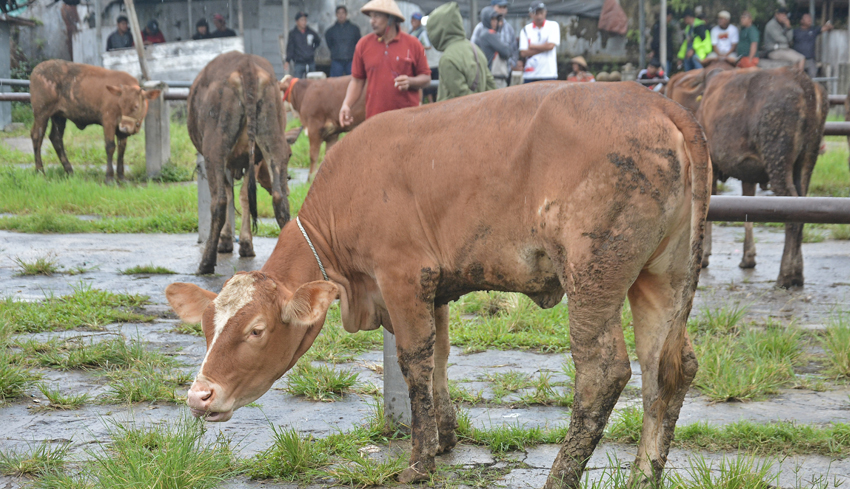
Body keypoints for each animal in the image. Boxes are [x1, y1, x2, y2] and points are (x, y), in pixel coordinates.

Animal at [30, 60, 161, 183]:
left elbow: (121, 150)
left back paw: (69, 171)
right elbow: (110, 147)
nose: (124, 127)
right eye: (121, 104)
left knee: (56, 138)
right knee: (37, 136)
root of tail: (36, 70)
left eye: (136, 106)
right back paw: (40, 171)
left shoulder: (121, 131)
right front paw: (109, 177)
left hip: (59, 116)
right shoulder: (108, 122)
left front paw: (122, 177)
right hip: (42, 113)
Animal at [164, 82, 708, 486]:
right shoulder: (437, 289)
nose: (199, 396)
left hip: (593, 275)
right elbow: (441, 357)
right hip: (661, 278)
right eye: (207, 328)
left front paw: (419, 460)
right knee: (668, 370)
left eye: (255, 329)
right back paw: (644, 475)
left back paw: (561, 475)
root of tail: (655, 102)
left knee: (603, 372)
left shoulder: (402, 279)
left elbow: (415, 363)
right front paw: (446, 436)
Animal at [186, 53, 292, 276]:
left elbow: (230, 194)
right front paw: (245, 244)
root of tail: (246, 66)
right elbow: (244, 196)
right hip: (273, 140)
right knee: (280, 199)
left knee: (219, 201)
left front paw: (226, 241)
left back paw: (206, 263)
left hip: (215, 148)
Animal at [692, 66, 824, 286]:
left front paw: (704, 257)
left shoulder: (711, 163)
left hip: (777, 155)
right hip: (808, 157)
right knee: (803, 206)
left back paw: (787, 275)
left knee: (792, 208)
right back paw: (797, 272)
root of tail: (804, 83)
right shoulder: (748, 169)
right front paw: (748, 257)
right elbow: (749, 208)